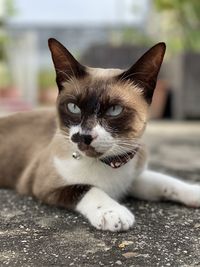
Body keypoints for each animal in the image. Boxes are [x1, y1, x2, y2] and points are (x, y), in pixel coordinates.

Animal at [0, 37, 200, 232]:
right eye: (74, 107)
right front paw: (113, 212)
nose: (84, 136)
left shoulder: (131, 180)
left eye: (114, 110)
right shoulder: (44, 185)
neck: (107, 164)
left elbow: (165, 181)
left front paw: (193, 191)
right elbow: (87, 188)